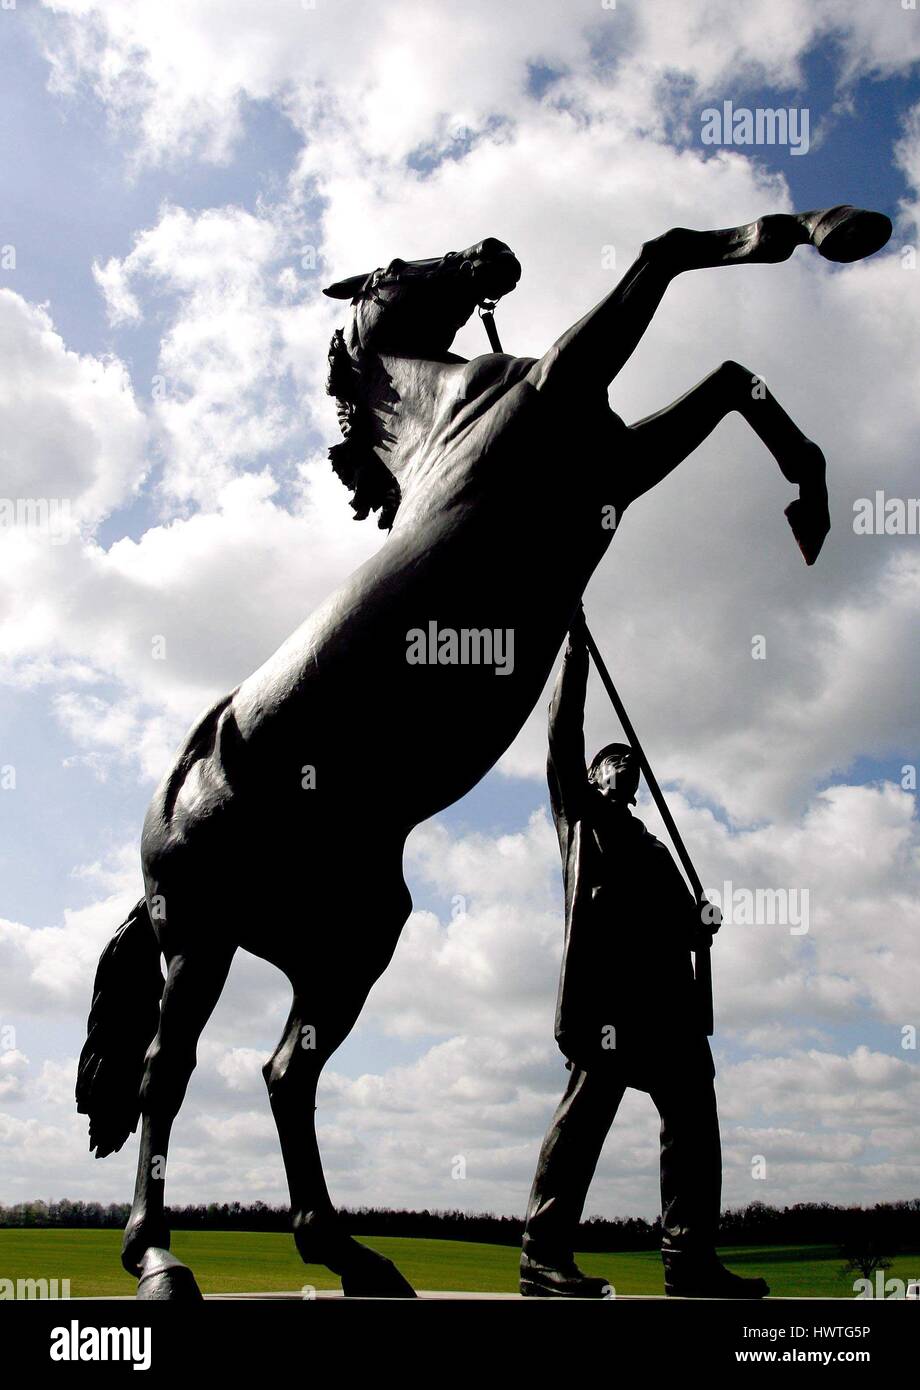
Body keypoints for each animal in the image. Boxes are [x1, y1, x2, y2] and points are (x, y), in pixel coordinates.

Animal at [77, 201, 894, 1295]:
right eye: (392, 265)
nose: (492, 255)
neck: (448, 412)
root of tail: (168, 811)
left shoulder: (616, 459)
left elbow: (728, 373)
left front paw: (809, 499)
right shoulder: (568, 393)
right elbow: (668, 254)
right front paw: (835, 228)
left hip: (347, 948)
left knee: (287, 1073)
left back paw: (350, 1253)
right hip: (199, 938)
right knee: (166, 1077)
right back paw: (160, 1256)